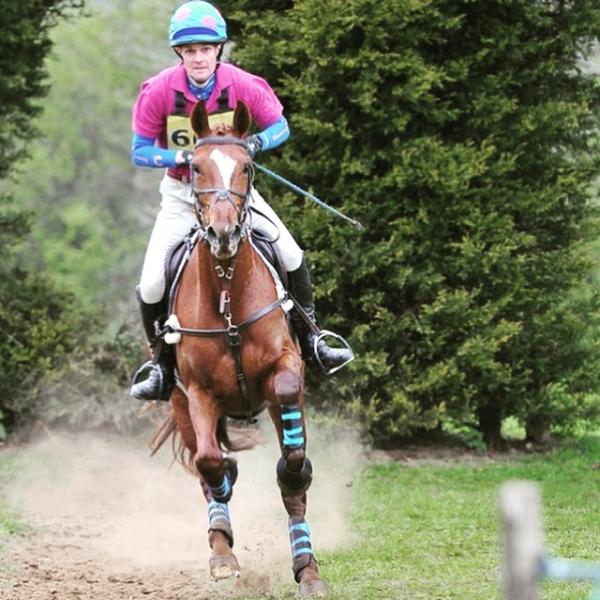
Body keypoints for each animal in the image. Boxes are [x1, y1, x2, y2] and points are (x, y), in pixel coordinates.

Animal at [164, 101, 328, 596]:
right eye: (195, 167)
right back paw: (221, 548)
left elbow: (293, 462)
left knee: (289, 480)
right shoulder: (198, 392)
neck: (226, 291)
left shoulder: (285, 368)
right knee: (206, 466)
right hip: (178, 400)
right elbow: (209, 461)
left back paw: (307, 566)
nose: (222, 234)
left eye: (247, 166)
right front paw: (222, 549)